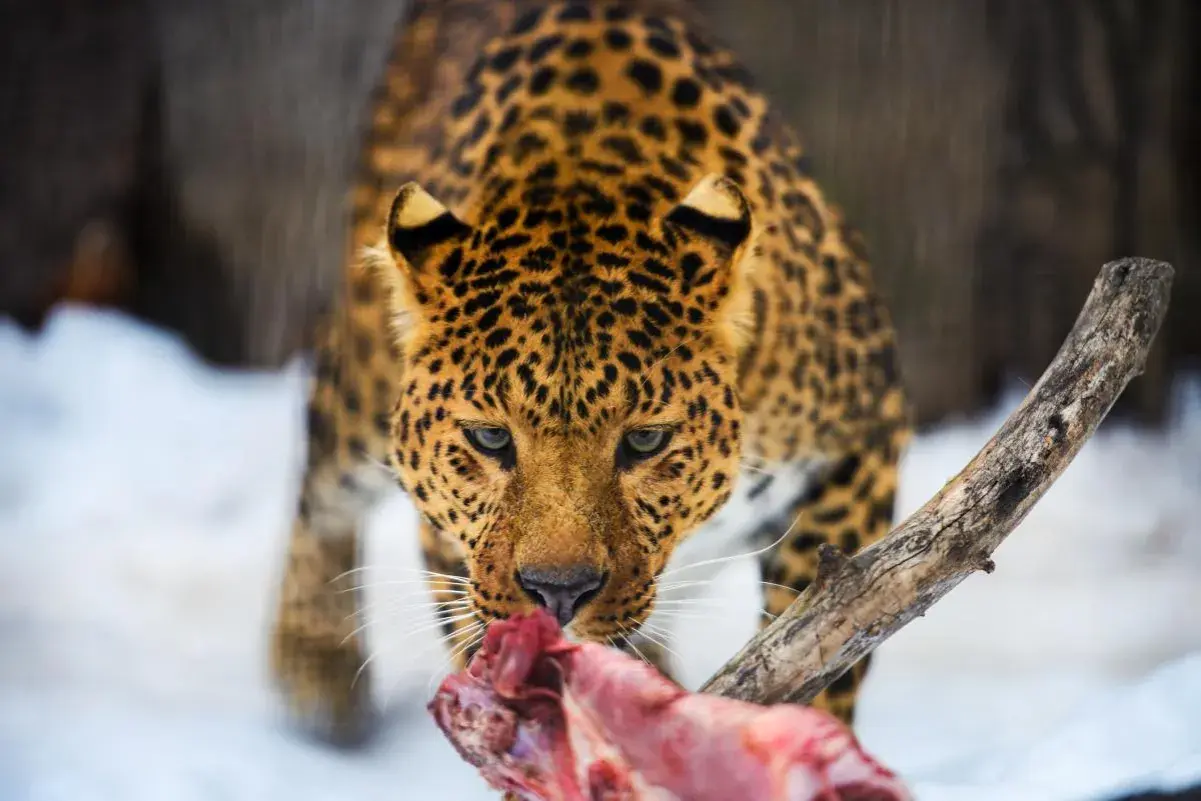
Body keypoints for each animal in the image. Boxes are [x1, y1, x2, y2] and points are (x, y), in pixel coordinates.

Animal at [269, 0, 911, 749]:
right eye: (490, 438)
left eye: (645, 441)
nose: (559, 592)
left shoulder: (862, 436)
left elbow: (828, 630)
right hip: (360, 377)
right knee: (321, 471)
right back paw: (313, 667)